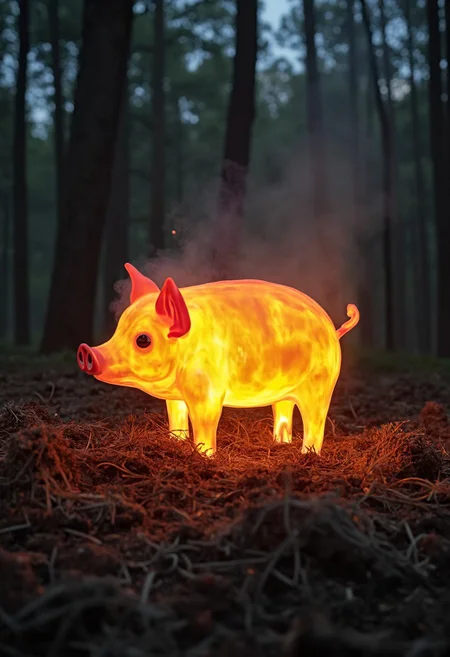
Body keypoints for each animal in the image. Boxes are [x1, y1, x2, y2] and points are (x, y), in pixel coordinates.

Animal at [77, 263, 359, 456]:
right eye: (118, 329)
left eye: (143, 340)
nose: (87, 351)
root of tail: (333, 331)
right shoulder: (175, 397)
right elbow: (177, 417)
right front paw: (175, 443)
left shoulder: (207, 392)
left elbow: (206, 422)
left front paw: (204, 456)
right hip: (285, 391)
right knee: (284, 411)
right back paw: (280, 443)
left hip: (321, 385)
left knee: (315, 422)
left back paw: (307, 456)